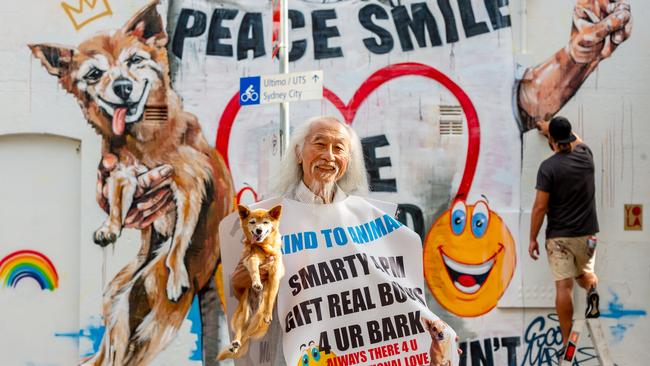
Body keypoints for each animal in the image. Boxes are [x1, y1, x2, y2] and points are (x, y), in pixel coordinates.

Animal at [218, 203, 284, 360]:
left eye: (265, 222)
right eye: (252, 222)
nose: (258, 230)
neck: (265, 248)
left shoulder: (275, 275)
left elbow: (271, 296)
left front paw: (268, 313)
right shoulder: (251, 259)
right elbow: (254, 271)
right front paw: (256, 283)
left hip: (255, 321)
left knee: (247, 335)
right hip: (244, 314)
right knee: (240, 331)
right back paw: (235, 343)